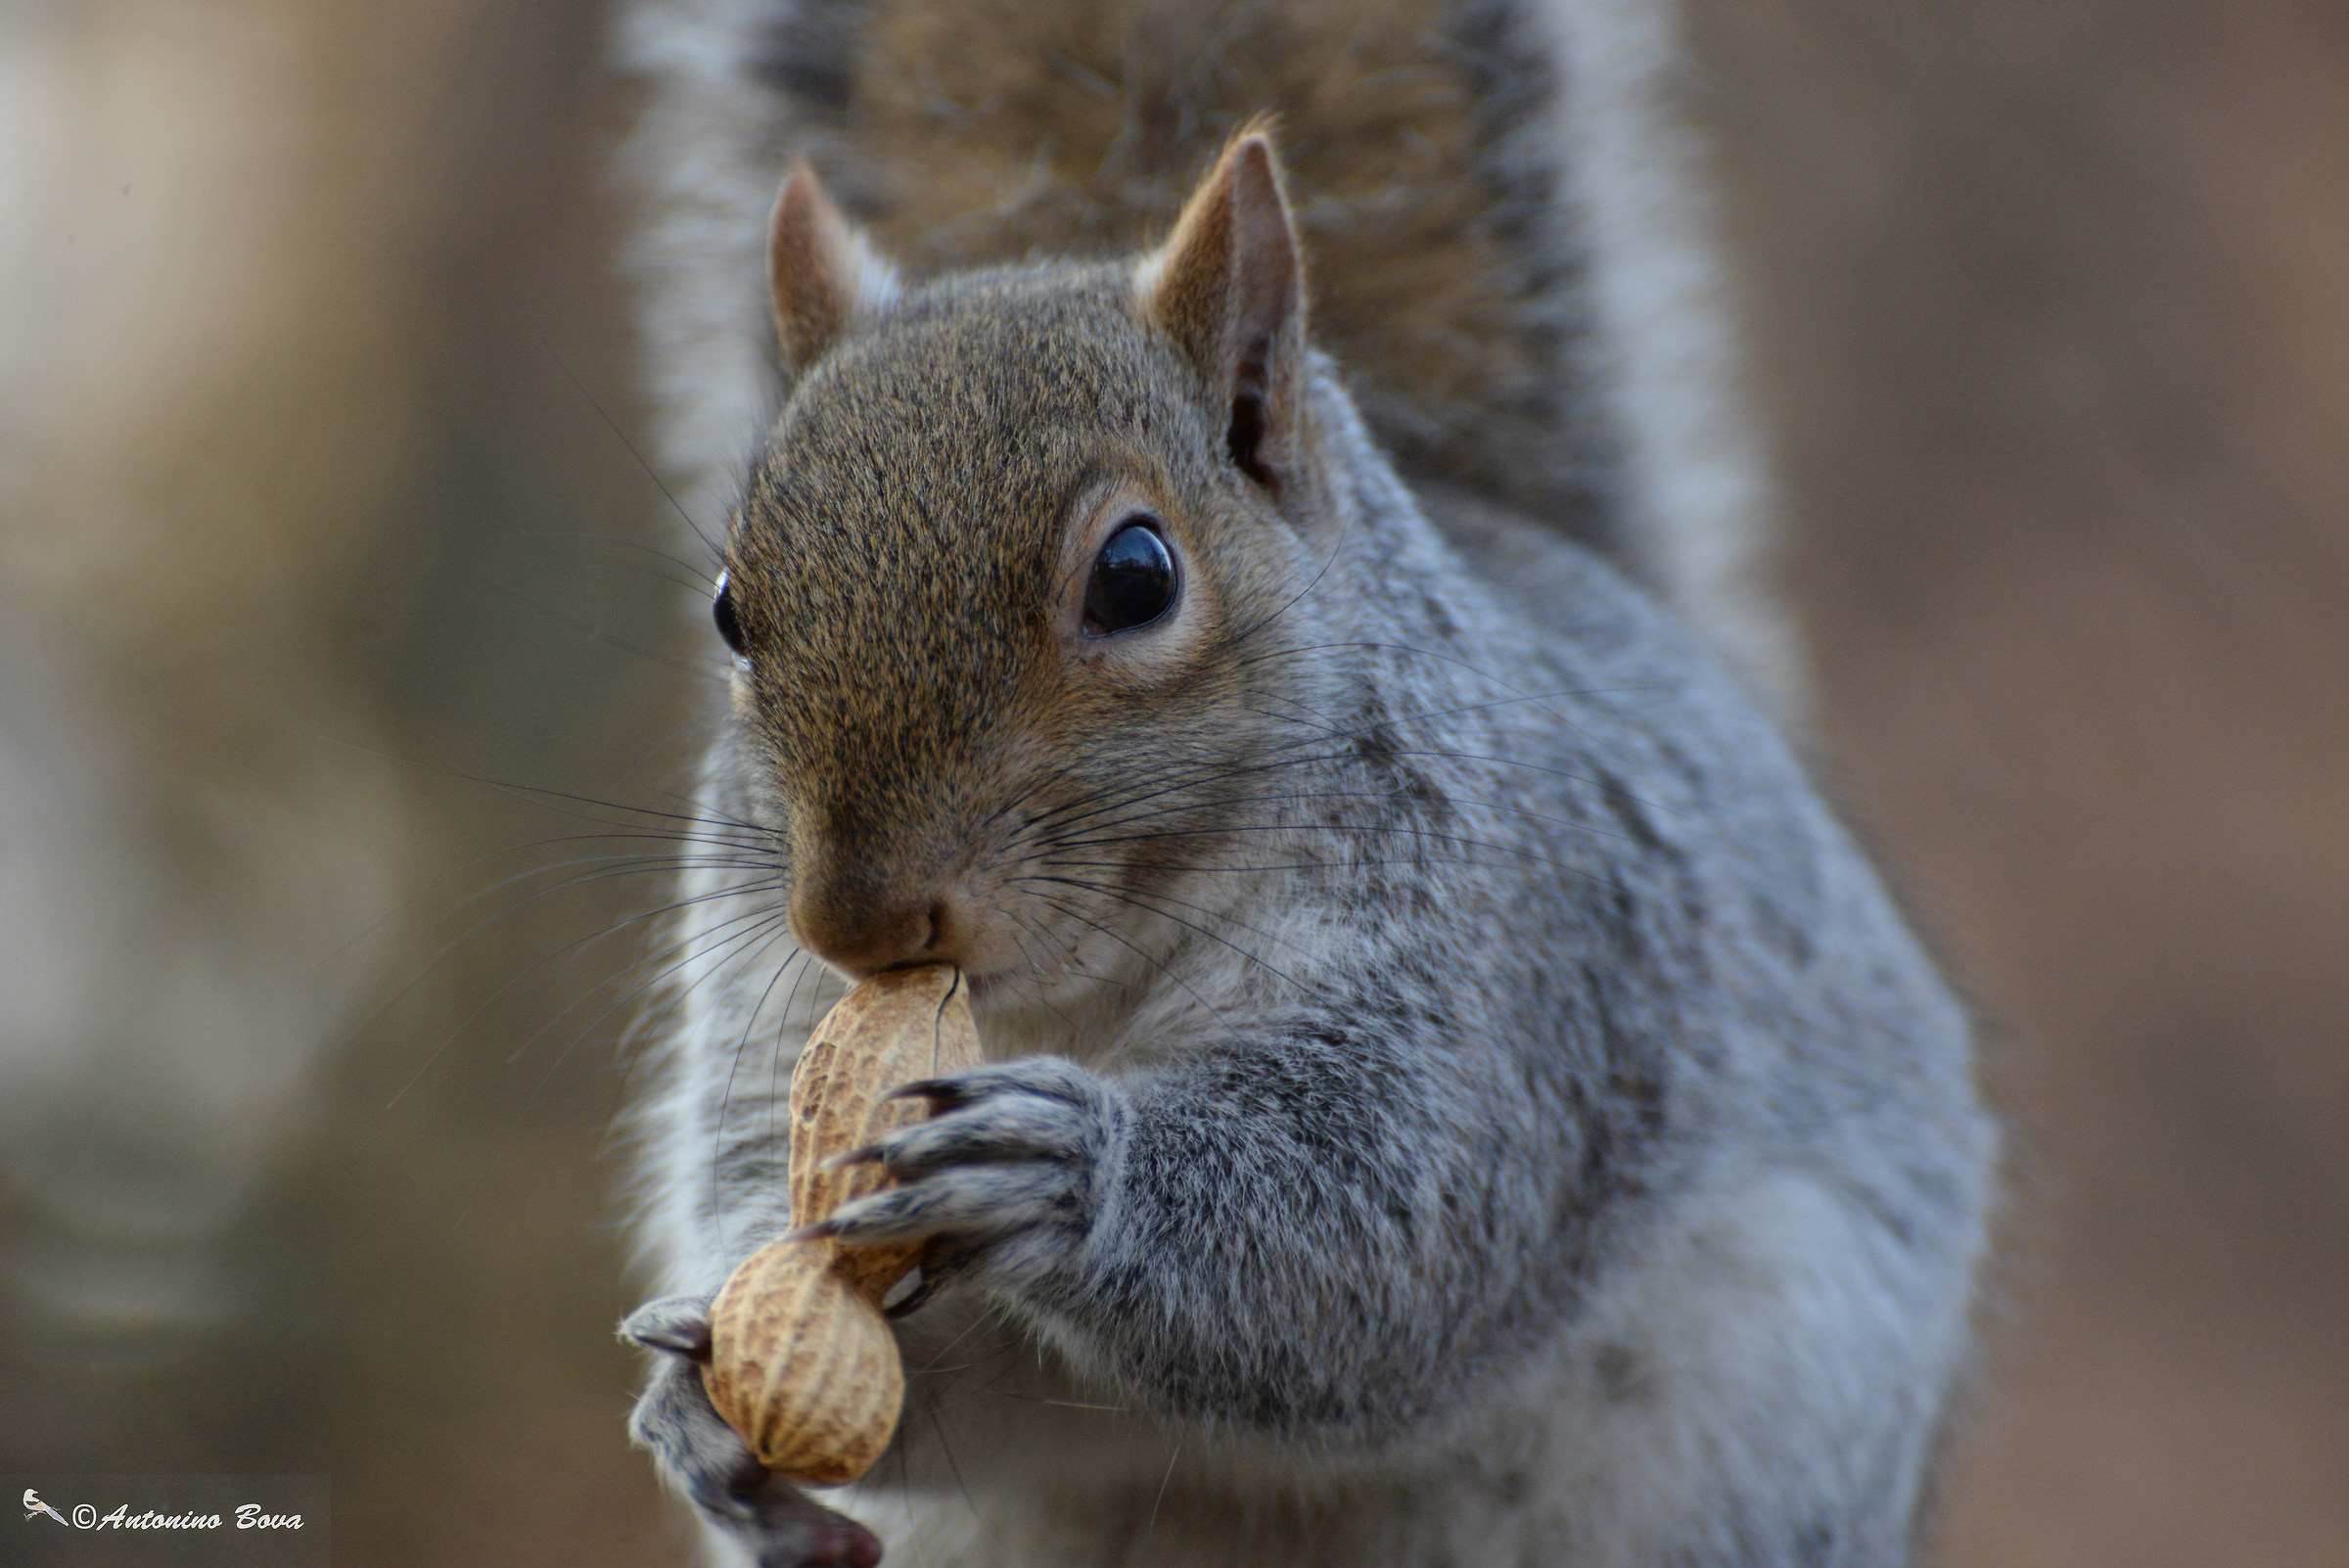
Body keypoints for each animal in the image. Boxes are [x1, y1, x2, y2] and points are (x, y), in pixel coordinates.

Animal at [611, 2, 1997, 1565]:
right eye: (729, 607)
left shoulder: (1518, 977)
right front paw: (702, 1393)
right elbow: (938, 1377)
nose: (852, 921)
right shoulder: (779, 1032)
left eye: (1136, 575)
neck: (1076, 997)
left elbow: (1388, 1234)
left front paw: (1075, 1173)